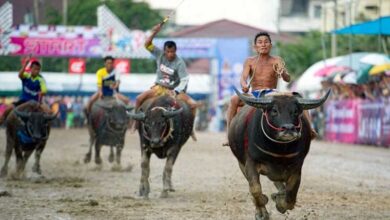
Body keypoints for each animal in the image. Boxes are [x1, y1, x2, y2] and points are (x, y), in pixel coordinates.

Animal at [229, 88, 330, 220]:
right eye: (274, 111)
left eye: (295, 111)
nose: (288, 128)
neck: (279, 150)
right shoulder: (250, 162)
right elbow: (255, 189)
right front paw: (263, 206)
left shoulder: (296, 168)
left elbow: (291, 196)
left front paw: (280, 203)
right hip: (241, 163)